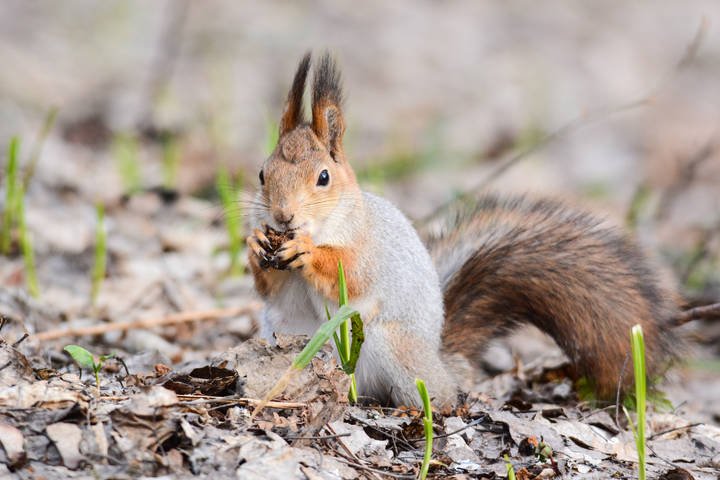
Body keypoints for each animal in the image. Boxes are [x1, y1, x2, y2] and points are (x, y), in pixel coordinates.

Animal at [246, 52, 680, 407]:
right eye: (263, 173)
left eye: (323, 177)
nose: (283, 217)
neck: (323, 224)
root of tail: (441, 360)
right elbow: (271, 289)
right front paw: (254, 244)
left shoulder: (370, 248)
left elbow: (351, 277)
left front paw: (308, 252)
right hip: (282, 335)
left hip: (393, 347)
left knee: (437, 397)